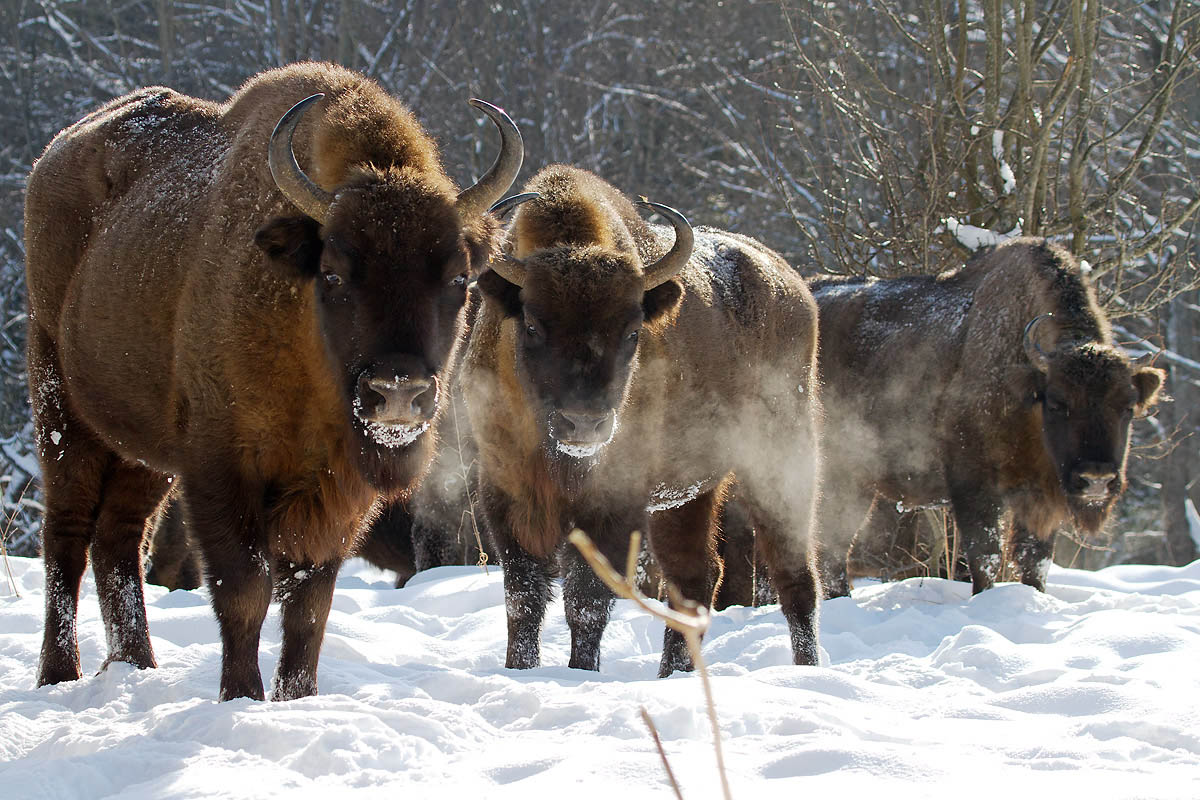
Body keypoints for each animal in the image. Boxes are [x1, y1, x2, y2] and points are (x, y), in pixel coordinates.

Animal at [25, 62, 523, 700]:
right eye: (333, 274)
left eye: (459, 279)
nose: (398, 393)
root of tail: (53, 154)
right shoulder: (221, 467)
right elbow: (245, 589)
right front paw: (241, 695)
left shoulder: (337, 492)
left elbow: (310, 603)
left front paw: (297, 696)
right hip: (60, 406)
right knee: (67, 533)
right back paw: (58, 675)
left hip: (143, 448)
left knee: (120, 536)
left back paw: (136, 666)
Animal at [460, 164, 825, 676]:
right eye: (531, 324)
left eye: (633, 332)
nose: (584, 425)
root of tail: (794, 289)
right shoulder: (506, 494)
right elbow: (524, 600)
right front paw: (518, 669)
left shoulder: (613, 504)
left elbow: (586, 602)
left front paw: (581, 673)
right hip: (688, 496)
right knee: (697, 577)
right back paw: (673, 673)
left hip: (782, 464)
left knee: (794, 577)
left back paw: (805, 669)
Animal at [816, 235, 1161, 597]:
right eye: (1057, 403)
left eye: (1128, 408)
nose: (1096, 480)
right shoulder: (975, 485)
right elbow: (986, 556)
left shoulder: (1041, 497)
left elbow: (1035, 560)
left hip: (860, 484)